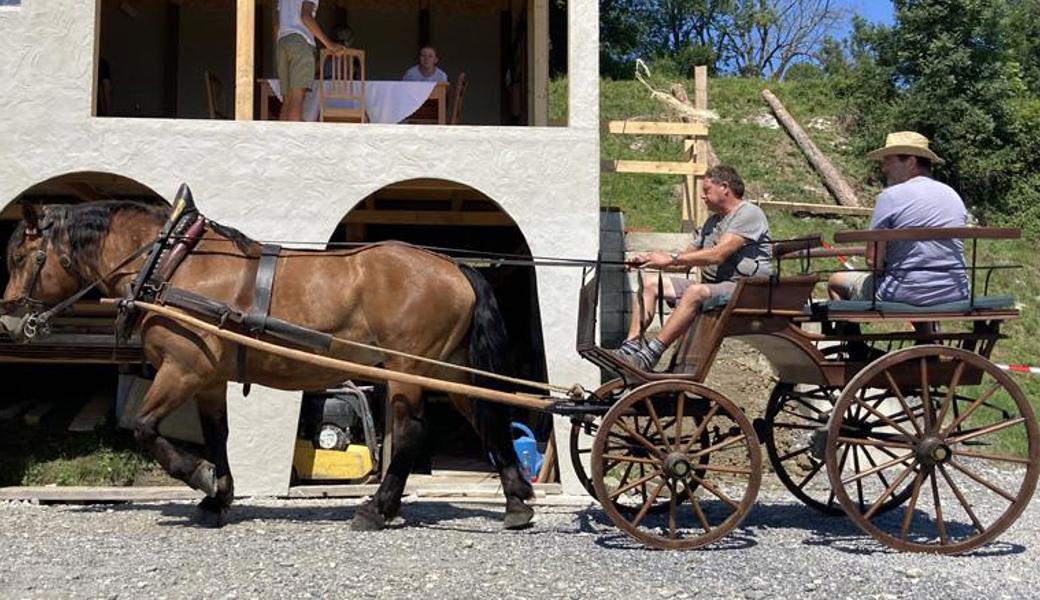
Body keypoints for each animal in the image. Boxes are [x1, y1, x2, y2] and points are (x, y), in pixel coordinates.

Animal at [2, 188, 536, 528]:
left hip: (409, 370)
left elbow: (146, 428)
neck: (172, 263)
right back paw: (517, 503)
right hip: (448, 370)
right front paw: (217, 497)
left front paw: (200, 477)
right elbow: (217, 434)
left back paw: (375, 509)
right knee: (489, 421)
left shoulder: (183, 369)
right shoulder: (208, 377)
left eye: (23, 258)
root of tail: (455, 267)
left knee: (409, 434)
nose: (8, 320)